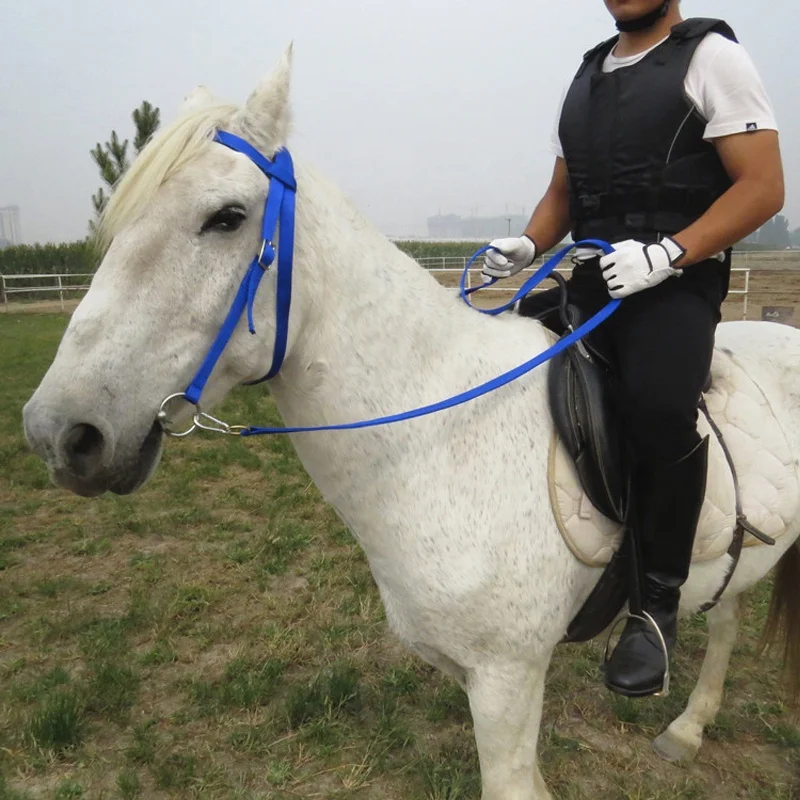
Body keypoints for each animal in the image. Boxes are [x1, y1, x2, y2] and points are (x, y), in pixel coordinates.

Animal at [22, 50, 800, 799]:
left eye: (227, 217)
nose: (60, 432)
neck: (439, 443)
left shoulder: (507, 676)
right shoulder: (474, 675)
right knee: (727, 620)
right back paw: (688, 731)